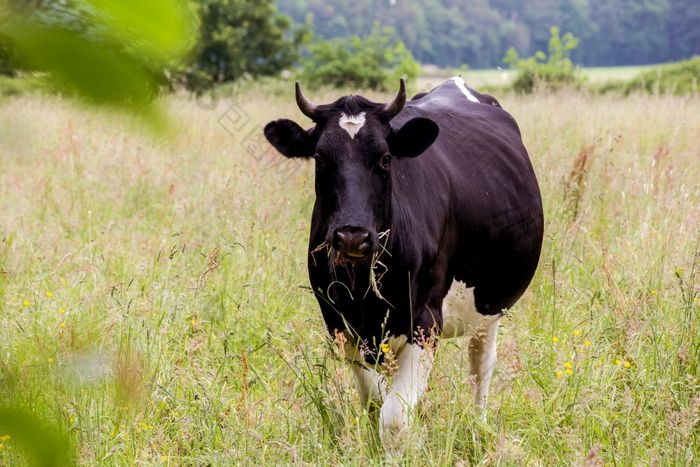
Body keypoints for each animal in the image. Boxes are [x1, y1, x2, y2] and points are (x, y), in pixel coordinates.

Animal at [266, 77, 544, 454]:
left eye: (385, 159)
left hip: (490, 305)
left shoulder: (425, 322)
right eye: (320, 160)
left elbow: (394, 417)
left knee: (481, 367)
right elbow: (376, 402)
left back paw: (478, 428)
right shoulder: (342, 326)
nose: (352, 236)